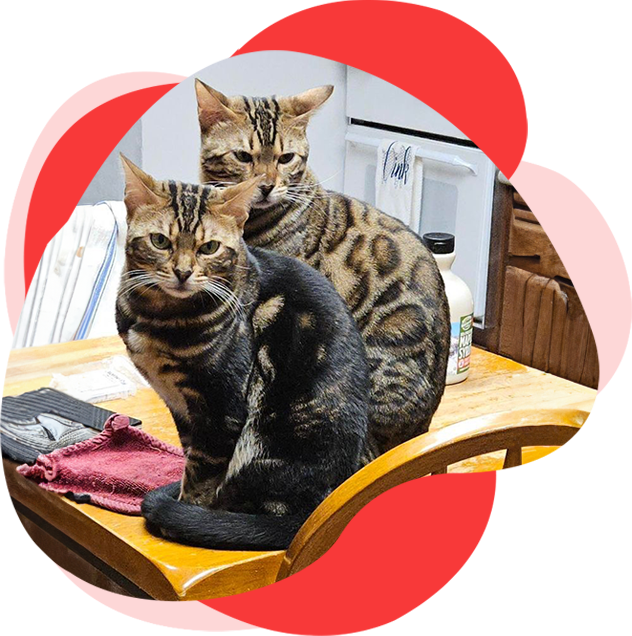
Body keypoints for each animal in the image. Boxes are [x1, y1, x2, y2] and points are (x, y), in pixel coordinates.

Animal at [116, 157, 368, 548]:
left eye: (209, 248)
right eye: (160, 241)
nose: (183, 272)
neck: (156, 316)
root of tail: (314, 515)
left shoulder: (221, 410)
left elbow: (201, 478)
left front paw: (185, 512)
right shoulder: (184, 410)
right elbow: (190, 457)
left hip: (265, 445)